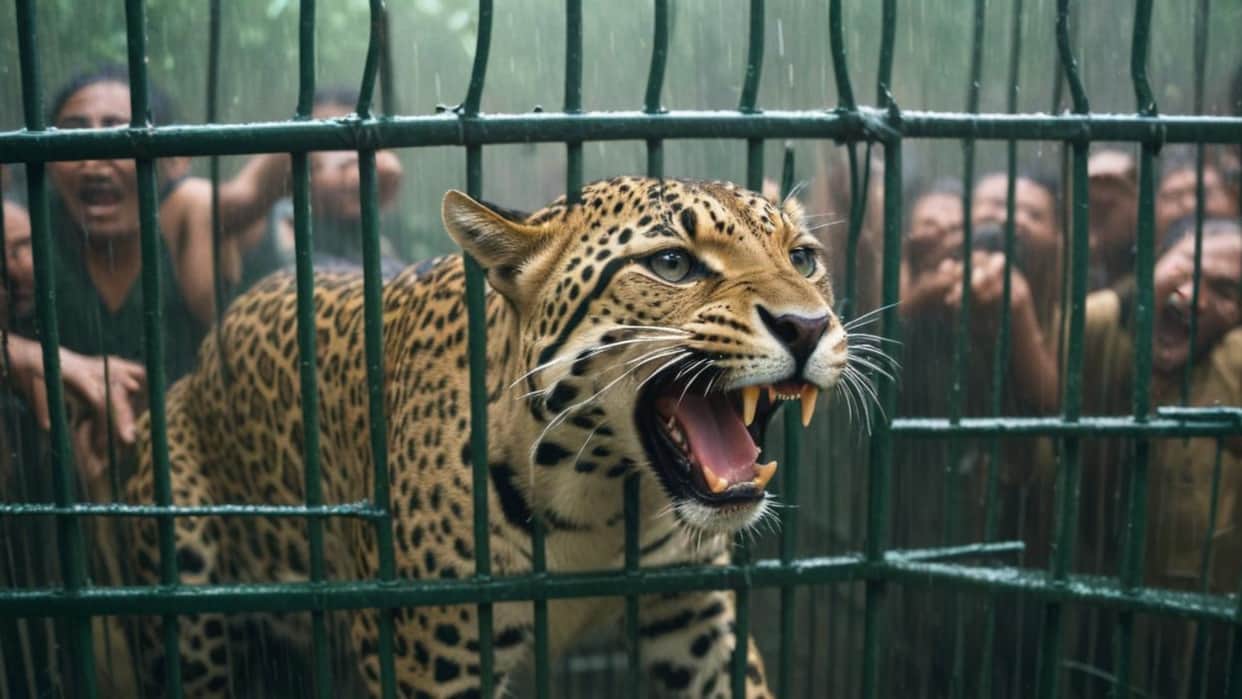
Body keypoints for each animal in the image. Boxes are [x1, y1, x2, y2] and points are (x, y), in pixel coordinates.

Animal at [124, 175, 851, 698]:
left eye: (803, 258)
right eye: (672, 263)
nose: (809, 326)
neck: (601, 497)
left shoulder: (696, 619)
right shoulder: (435, 663)